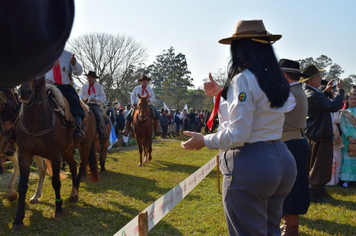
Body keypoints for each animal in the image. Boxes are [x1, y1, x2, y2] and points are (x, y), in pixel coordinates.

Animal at [12, 77, 98, 230]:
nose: (24, 92)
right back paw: (74, 192)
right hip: (68, 150)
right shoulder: (24, 154)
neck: (36, 119)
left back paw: (74, 193)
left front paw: (58, 209)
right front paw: (18, 219)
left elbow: (56, 182)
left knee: (82, 166)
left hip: (85, 146)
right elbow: (22, 186)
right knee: (73, 166)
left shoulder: (55, 155)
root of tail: (89, 109)